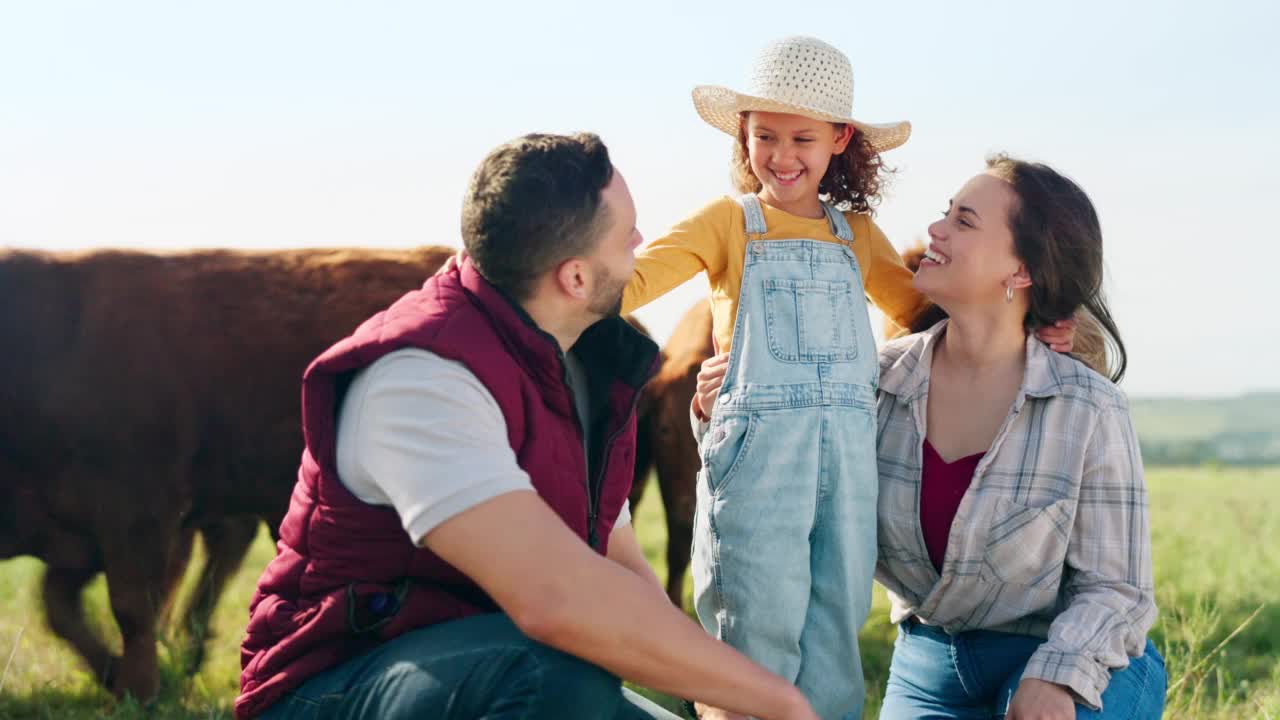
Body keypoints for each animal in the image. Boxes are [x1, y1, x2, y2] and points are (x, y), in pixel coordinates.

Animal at [0, 243, 453, 696]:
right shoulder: (81, 532)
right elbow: (59, 607)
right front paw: (116, 675)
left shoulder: (140, 511)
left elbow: (131, 608)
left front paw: (140, 689)